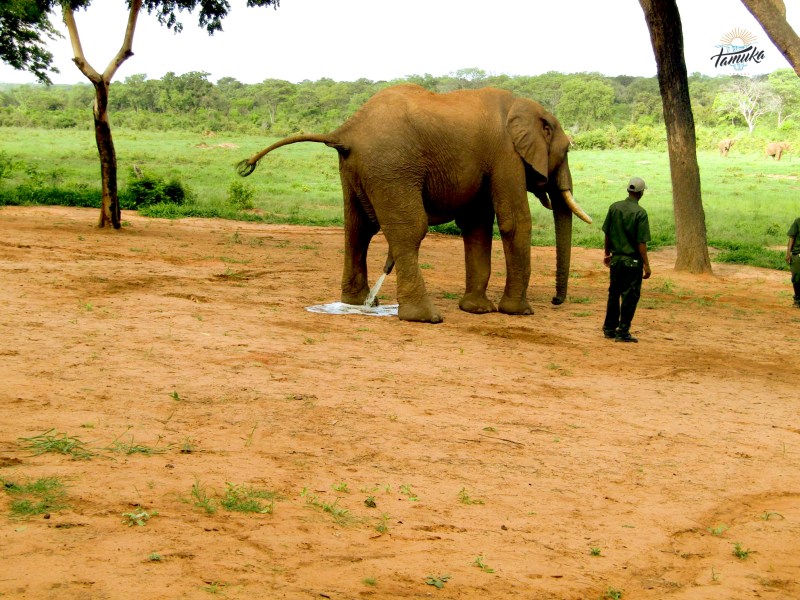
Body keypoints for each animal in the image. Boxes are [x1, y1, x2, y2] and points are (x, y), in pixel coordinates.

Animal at [237, 84, 592, 324]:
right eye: (566, 151)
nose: (557, 300)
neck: (526, 106)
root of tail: (346, 130)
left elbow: (477, 225)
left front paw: (477, 310)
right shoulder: (506, 155)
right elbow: (513, 221)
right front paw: (519, 312)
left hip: (356, 170)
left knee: (357, 229)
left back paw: (359, 304)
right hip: (392, 167)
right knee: (409, 230)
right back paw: (424, 317)